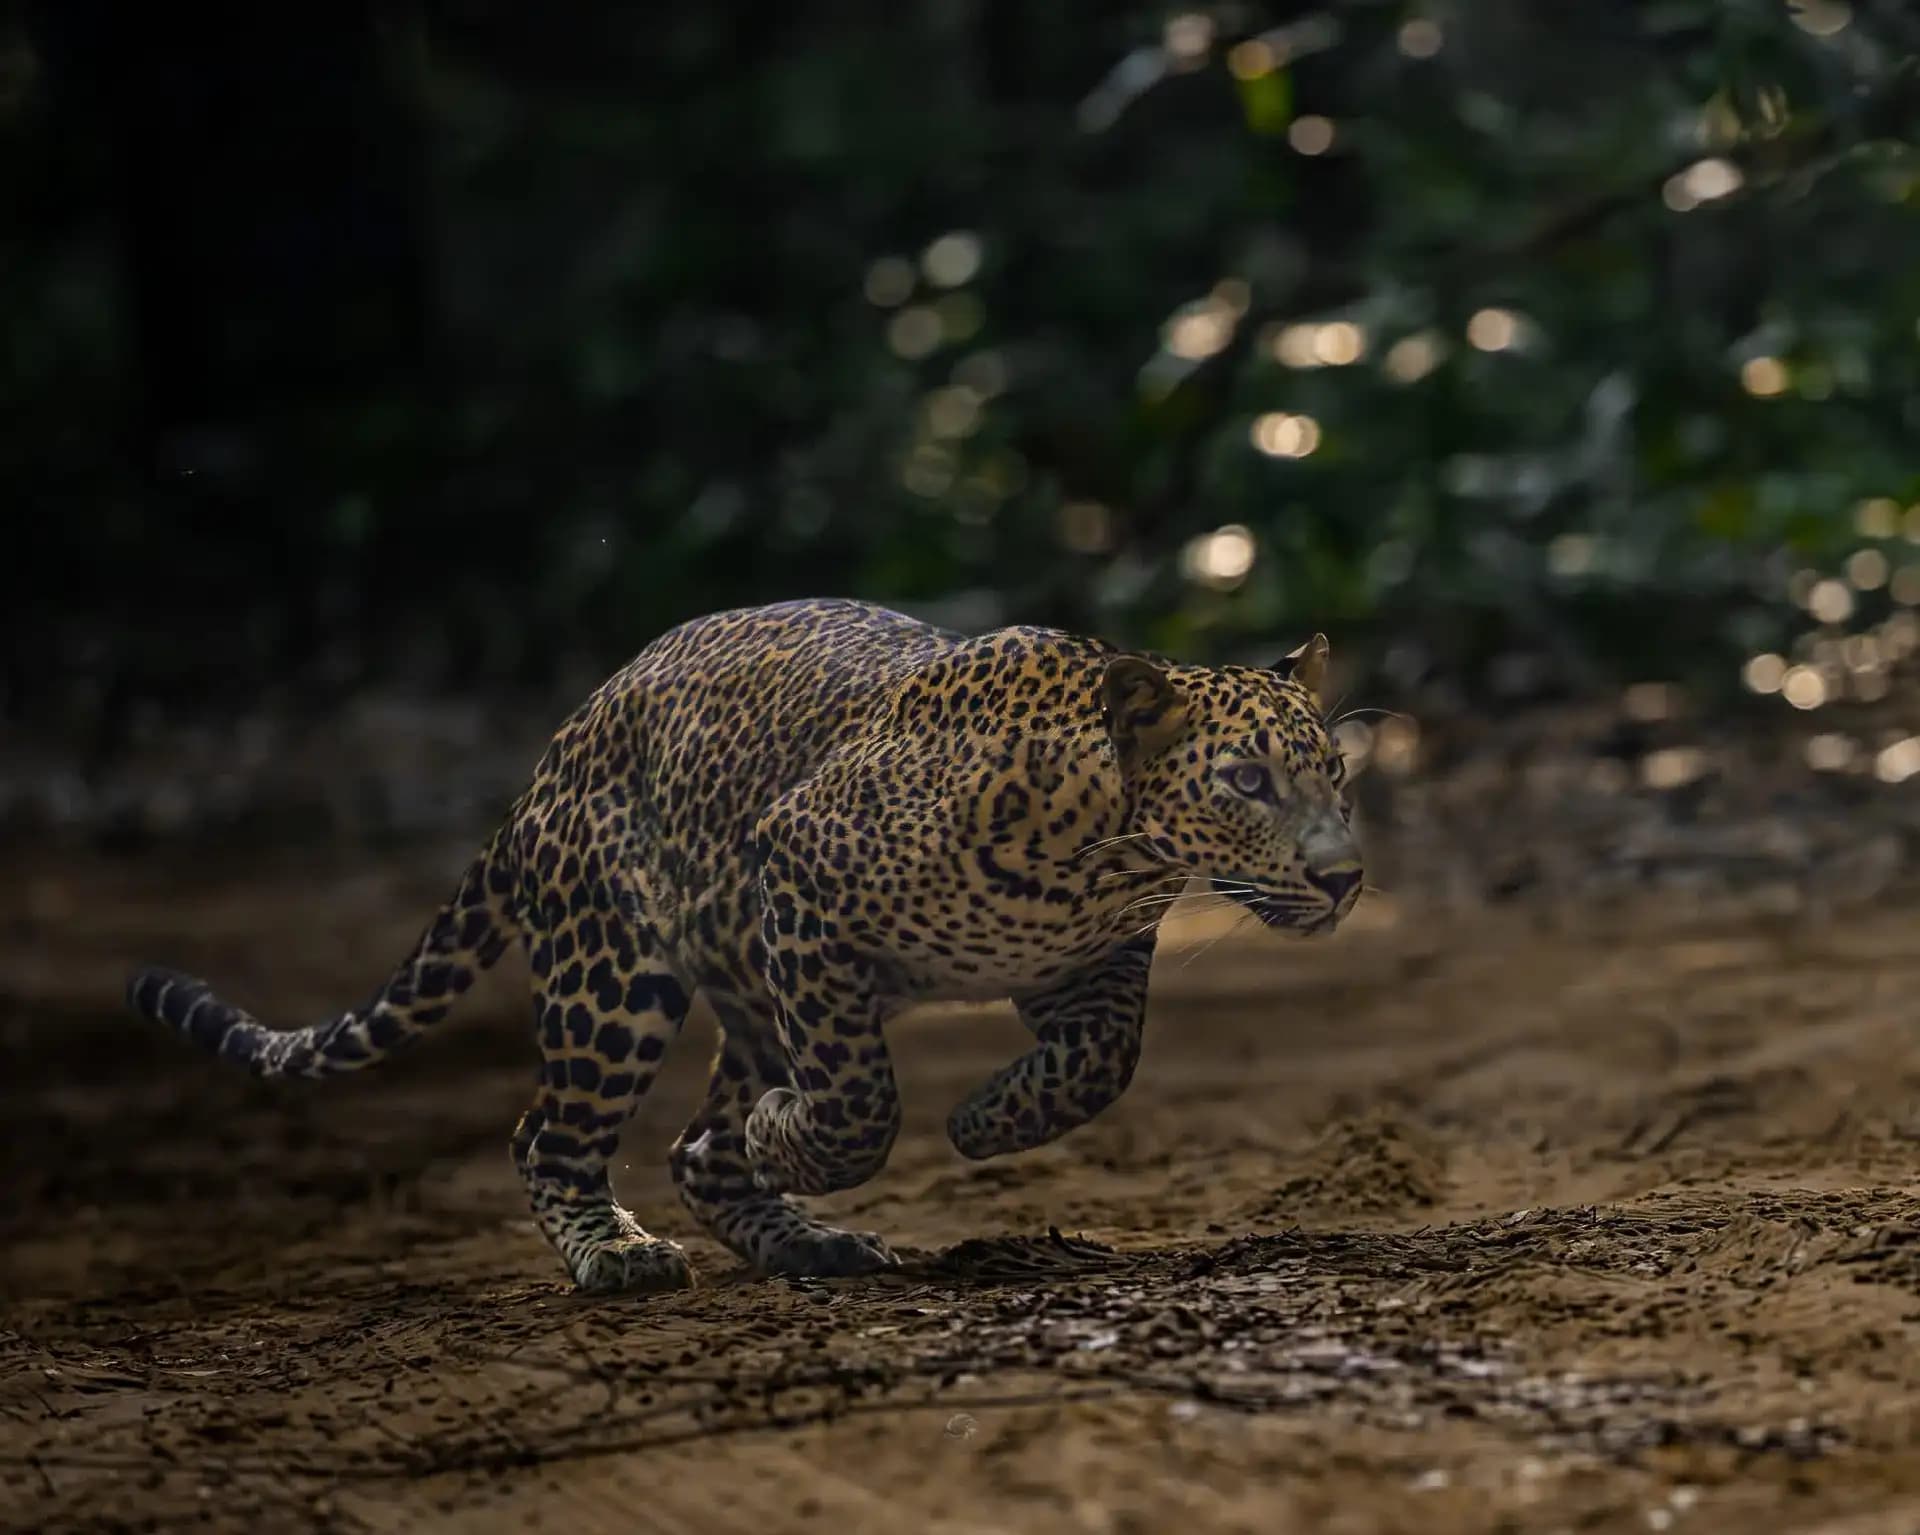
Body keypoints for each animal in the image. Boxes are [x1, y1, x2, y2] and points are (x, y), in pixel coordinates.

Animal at [125, 599, 1362, 1293]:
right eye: (1245, 780)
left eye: (1338, 771)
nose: (1345, 875)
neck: (1103, 850)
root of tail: (557, 746)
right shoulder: (801, 882)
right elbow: (861, 1101)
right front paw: (798, 1136)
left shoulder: (1091, 970)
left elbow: (1097, 1069)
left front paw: (983, 1121)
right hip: (618, 977)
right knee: (549, 1132)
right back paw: (618, 1251)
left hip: (747, 994)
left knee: (689, 1149)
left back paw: (799, 1230)